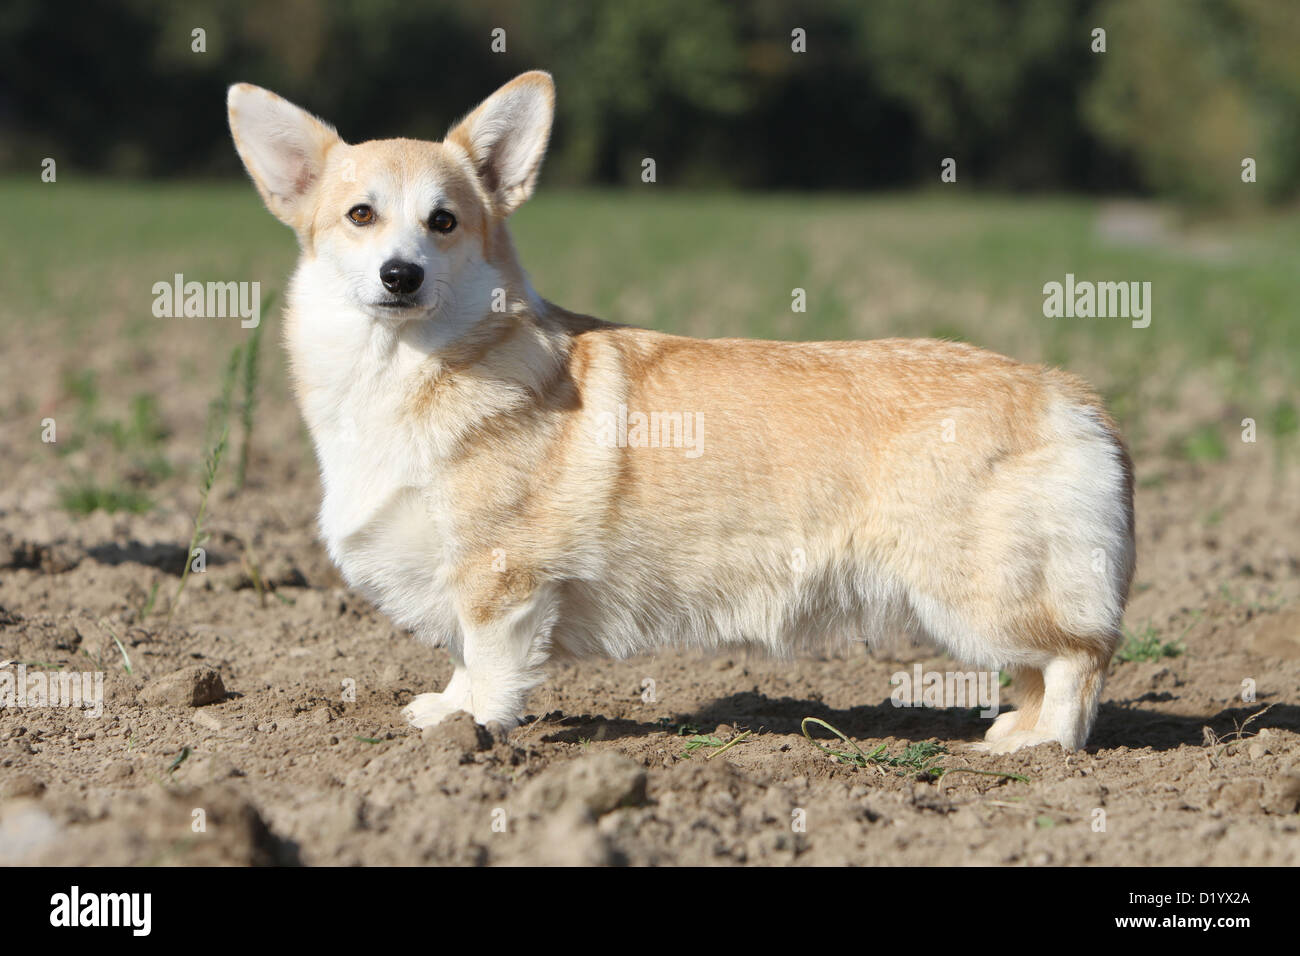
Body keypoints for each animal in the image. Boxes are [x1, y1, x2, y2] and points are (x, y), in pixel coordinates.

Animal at [228, 70, 1133, 749]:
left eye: (443, 222)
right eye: (360, 215)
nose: (400, 275)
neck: (405, 370)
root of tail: (1072, 395)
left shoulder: (502, 581)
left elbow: (489, 663)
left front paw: (476, 733)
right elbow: (458, 657)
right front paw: (445, 715)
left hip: (977, 592)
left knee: (1081, 658)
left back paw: (1047, 743)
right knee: (1047, 666)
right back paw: (1014, 728)